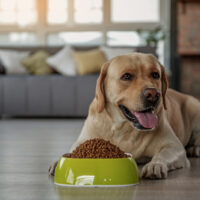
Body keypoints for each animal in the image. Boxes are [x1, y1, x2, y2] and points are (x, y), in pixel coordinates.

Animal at [49, 52, 200, 178]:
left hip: (194, 107)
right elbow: (75, 149)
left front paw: (155, 164)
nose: (153, 94)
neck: (124, 128)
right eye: (126, 76)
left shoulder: (174, 146)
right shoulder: (84, 140)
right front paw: (58, 162)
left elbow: (163, 154)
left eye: (155, 74)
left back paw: (195, 149)